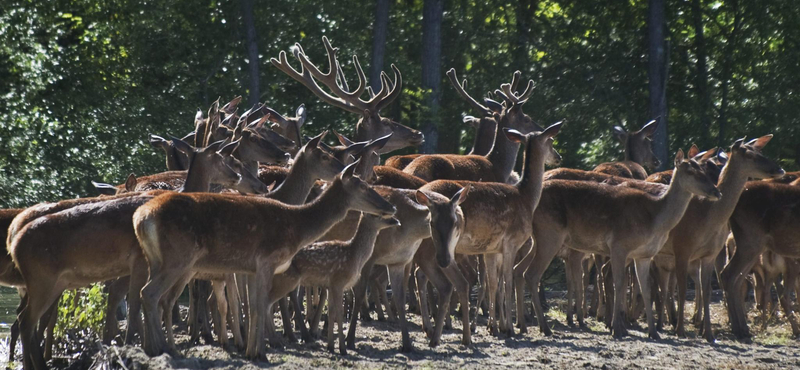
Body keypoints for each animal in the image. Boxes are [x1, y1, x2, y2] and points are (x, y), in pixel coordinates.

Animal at [516, 148, 720, 342]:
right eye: (691, 171)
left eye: (703, 170)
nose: (716, 192)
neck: (654, 218)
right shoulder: (619, 245)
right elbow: (619, 284)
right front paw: (617, 329)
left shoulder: (644, 255)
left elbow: (645, 289)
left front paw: (653, 332)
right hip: (550, 235)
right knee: (532, 274)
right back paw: (545, 327)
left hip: (537, 240)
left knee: (520, 270)